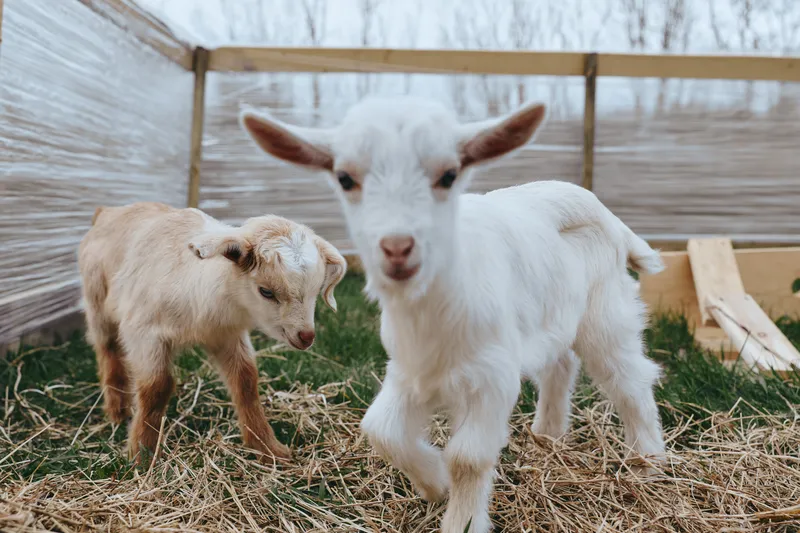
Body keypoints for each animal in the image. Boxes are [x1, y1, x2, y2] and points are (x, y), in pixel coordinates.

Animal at [78, 202, 346, 462]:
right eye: (266, 291)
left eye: (316, 290)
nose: (306, 337)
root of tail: (106, 212)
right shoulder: (143, 332)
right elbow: (157, 387)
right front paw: (142, 455)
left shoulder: (226, 335)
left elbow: (245, 381)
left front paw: (268, 448)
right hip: (97, 301)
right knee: (108, 349)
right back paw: (117, 411)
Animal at [239, 97, 666, 532]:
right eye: (344, 178)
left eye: (448, 175)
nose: (397, 247)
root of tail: (609, 216)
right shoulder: (408, 370)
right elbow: (381, 430)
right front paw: (434, 483)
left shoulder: (493, 375)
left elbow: (468, 456)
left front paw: (461, 518)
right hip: (552, 314)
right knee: (560, 363)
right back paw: (547, 435)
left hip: (604, 311)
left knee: (629, 377)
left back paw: (647, 462)